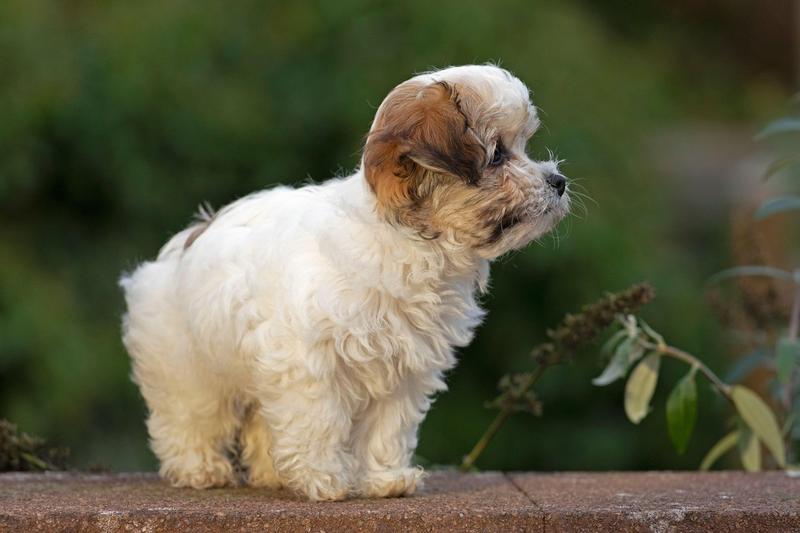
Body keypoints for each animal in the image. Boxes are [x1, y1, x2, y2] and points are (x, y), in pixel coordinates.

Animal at [120, 64, 568, 500]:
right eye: (498, 156)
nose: (558, 181)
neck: (405, 241)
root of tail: (185, 242)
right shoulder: (309, 363)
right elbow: (318, 419)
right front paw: (325, 479)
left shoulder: (402, 367)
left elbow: (387, 425)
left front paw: (384, 478)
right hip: (186, 361)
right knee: (190, 416)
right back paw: (201, 469)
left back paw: (273, 474)